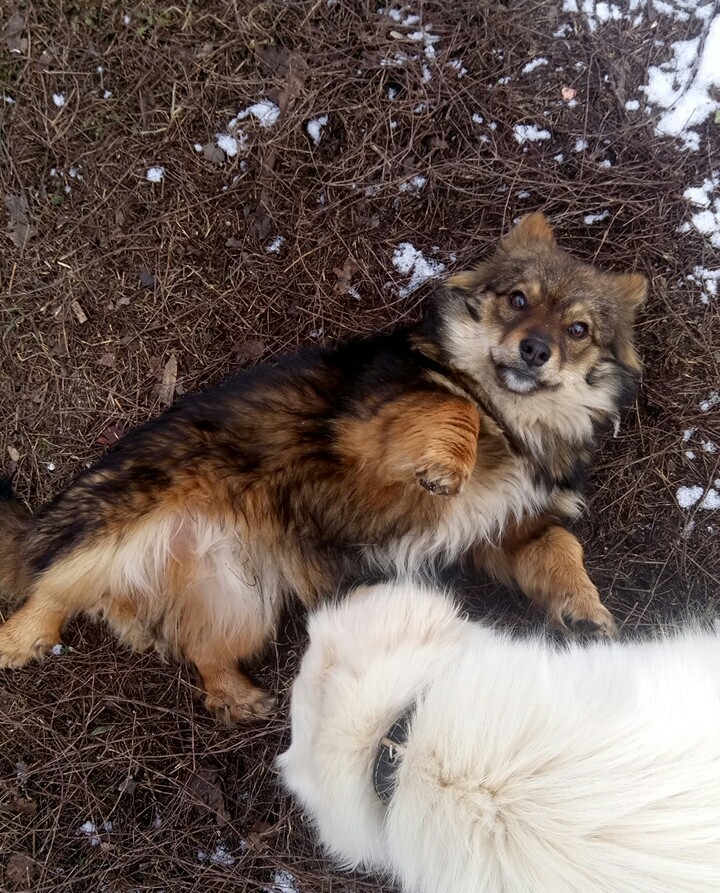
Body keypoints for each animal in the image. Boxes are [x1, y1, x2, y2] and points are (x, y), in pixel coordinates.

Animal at [0, 213, 648, 720]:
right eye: (518, 299)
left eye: (579, 329)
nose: (535, 350)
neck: (515, 425)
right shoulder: (368, 433)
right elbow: (455, 404)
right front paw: (447, 464)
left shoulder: (508, 532)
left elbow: (561, 546)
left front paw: (585, 609)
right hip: (115, 524)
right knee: (50, 587)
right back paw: (20, 639)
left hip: (239, 601)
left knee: (204, 654)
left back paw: (236, 697)